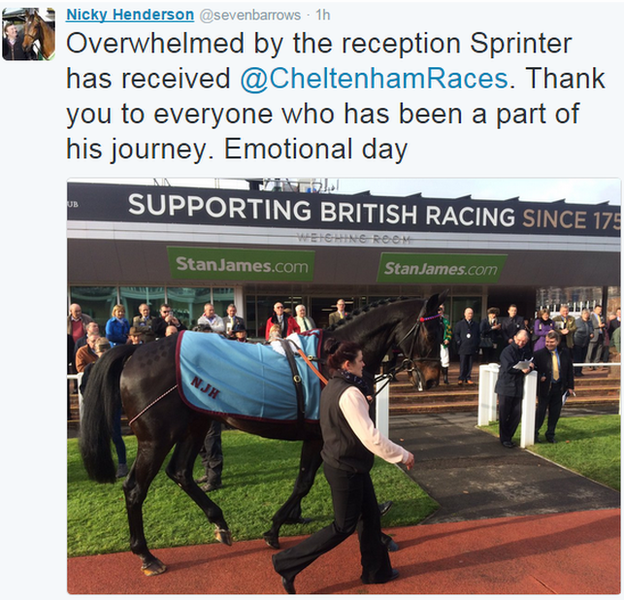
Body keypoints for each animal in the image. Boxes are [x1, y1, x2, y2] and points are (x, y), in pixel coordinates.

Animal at [80, 292, 446, 576]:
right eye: (431, 332)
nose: (431, 379)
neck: (329, 361)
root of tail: (136, 351)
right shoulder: (324, 435)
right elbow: (308, 482)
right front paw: (275, 529)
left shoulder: (322, 437)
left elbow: (314, 480)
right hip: (156, 438)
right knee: (135, 489)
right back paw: (147, 555)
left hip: (195, 425)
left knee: (180, 472)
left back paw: (219, 523)